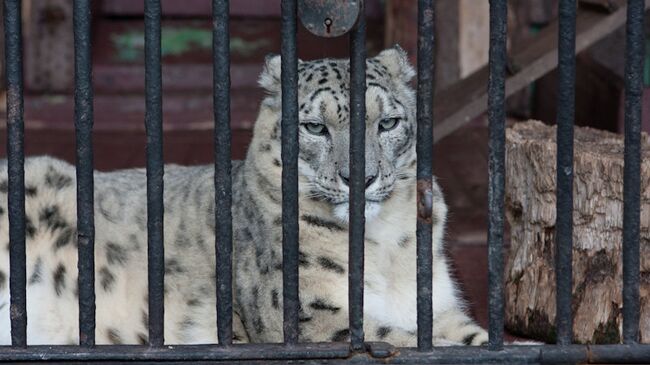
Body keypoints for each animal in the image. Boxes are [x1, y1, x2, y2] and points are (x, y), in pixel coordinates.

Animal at [0, 47, 486, 346]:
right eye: (315, 127)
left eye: (388, 123)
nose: (359, 178)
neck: (384, 246)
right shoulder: (309, 315)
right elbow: (402, 340)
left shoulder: (440, 306)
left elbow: (471, 338)